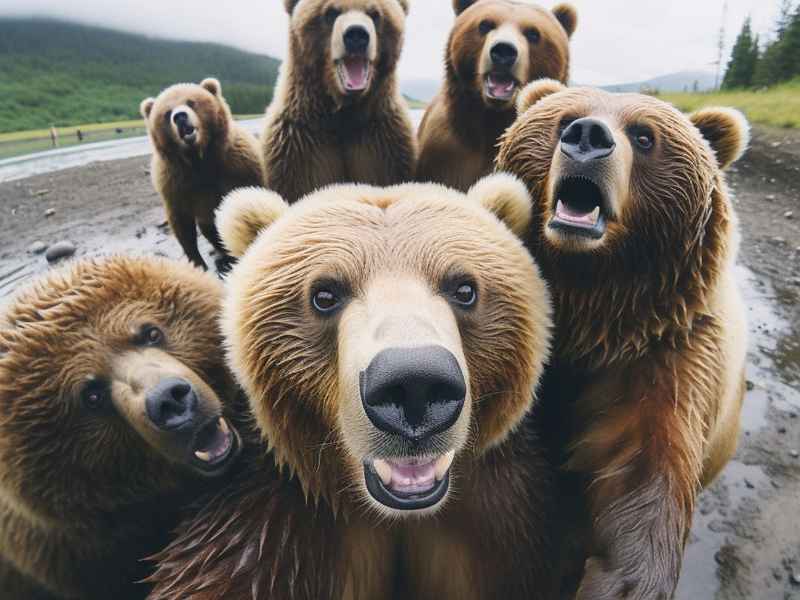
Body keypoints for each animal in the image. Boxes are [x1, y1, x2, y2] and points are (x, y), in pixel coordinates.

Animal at [141, 78, 265, 272]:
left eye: (191, 102)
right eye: (167, 112)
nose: (180, 117)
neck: (200, 160)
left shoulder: (239, 167)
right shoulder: (176, 184)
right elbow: (183, 225)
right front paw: (198, 264)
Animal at [146, 175, 559, 600]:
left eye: (464, 288)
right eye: (324, 294)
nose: (414, 385)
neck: (398, 517)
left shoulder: (499, 524)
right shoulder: (268, 536)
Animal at [495, 80, 749, 599]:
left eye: (645, 135)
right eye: (563, 119)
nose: (587, 136)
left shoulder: (668, 351)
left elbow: (639, 466)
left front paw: (623, 581)